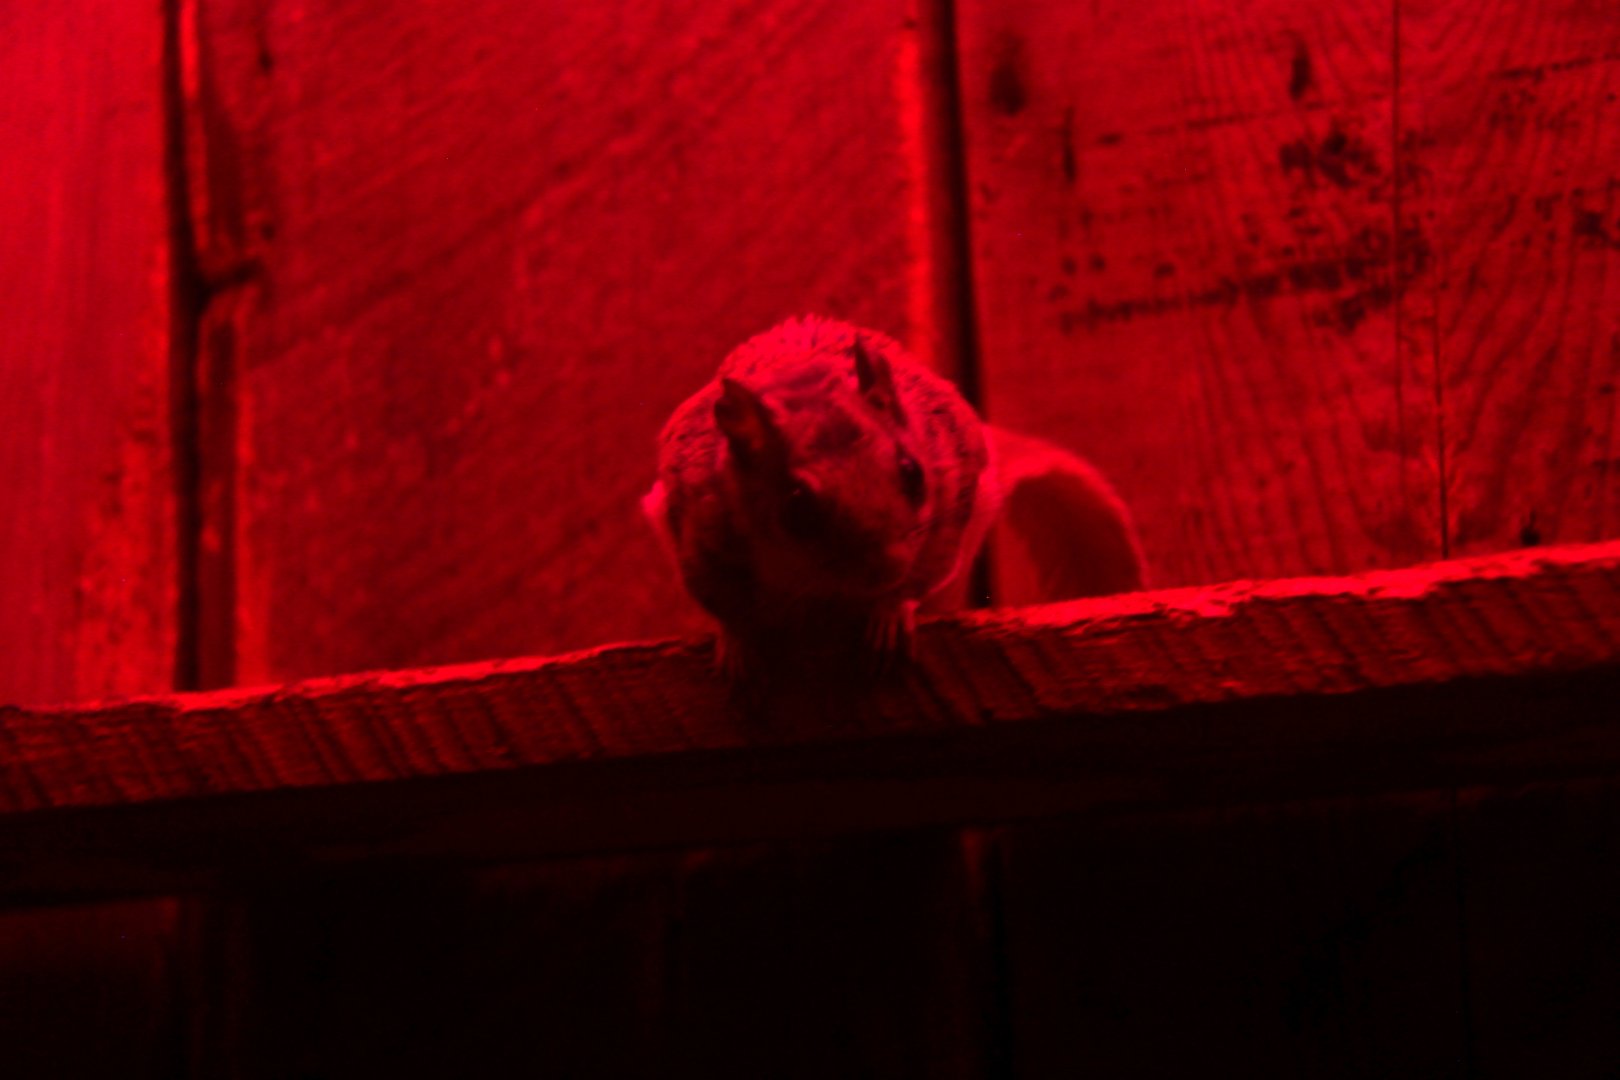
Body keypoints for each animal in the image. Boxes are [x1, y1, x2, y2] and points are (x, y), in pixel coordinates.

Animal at [642, 314, 1145, 682]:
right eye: (796, 507)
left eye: (912, 473)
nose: (885, 569)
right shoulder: (701, 537)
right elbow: (723, 605)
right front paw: (738, 647)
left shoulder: (947, 520)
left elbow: (915, 582)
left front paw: (888, 614)